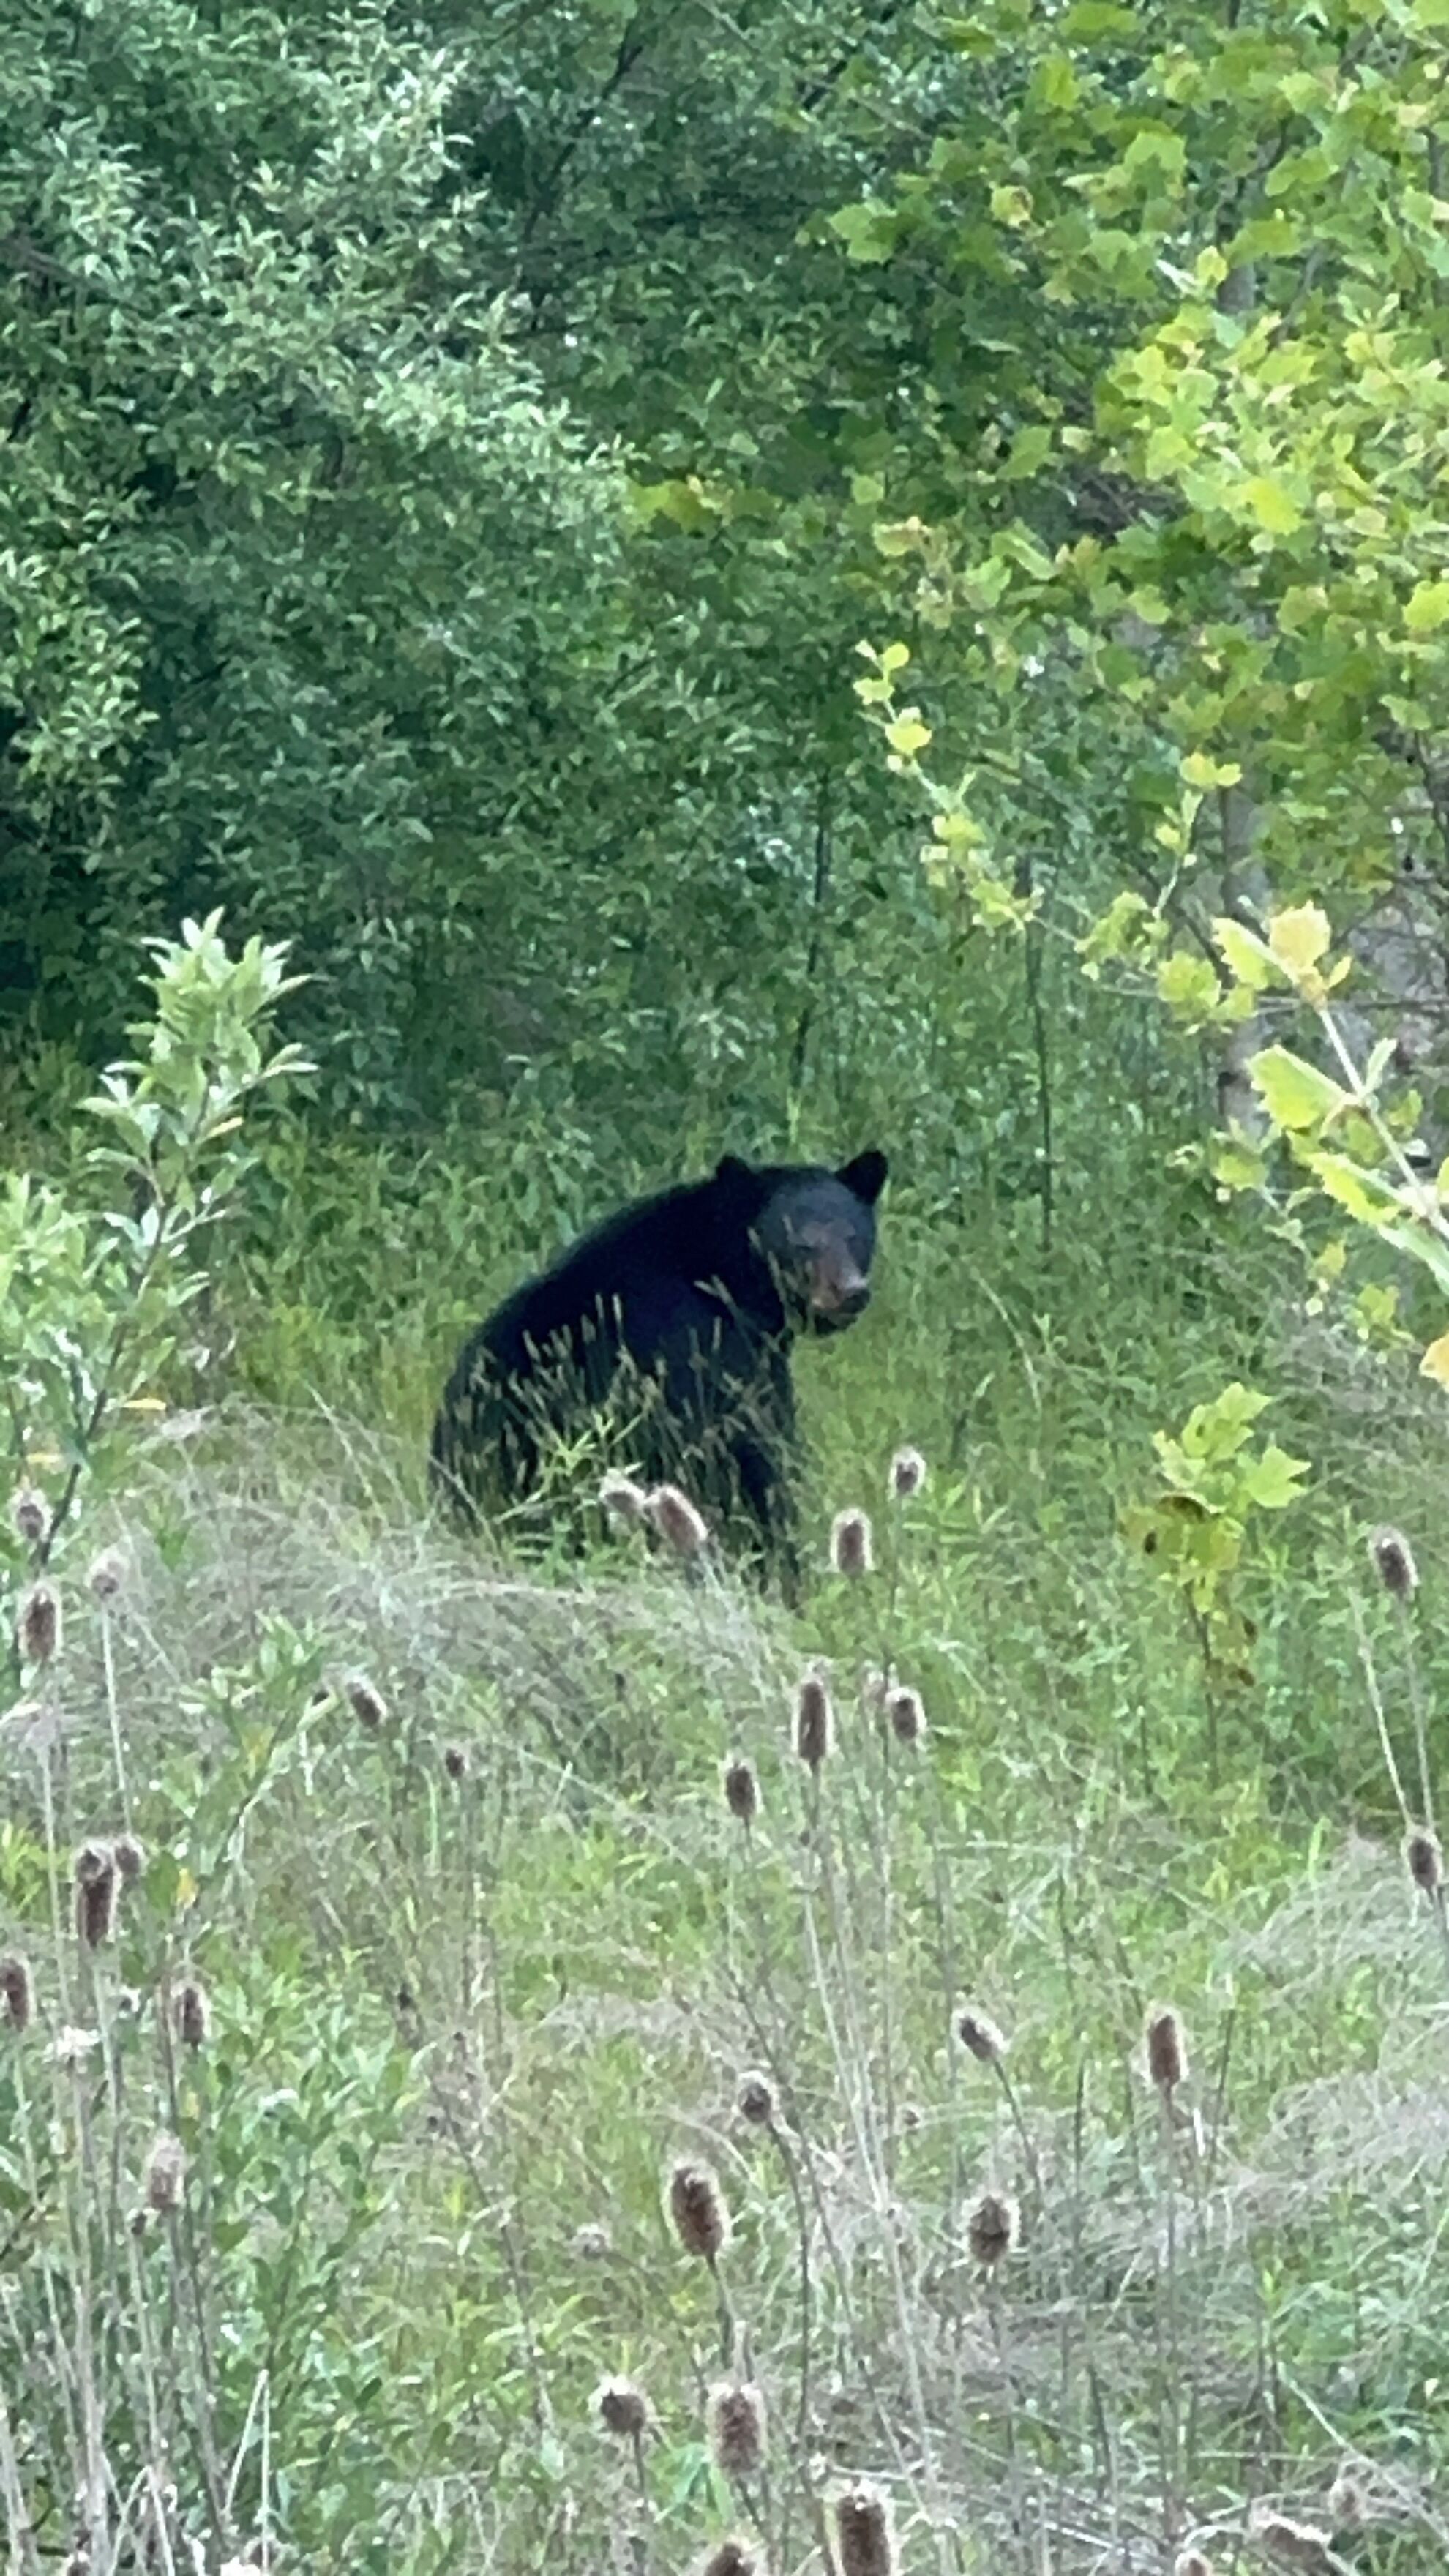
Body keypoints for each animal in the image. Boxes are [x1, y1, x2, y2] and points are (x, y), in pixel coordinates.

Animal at [429, 1148, 888, 1586]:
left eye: (854, 1235)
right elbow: (749, 1456)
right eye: (802, 1241)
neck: (719, 1276)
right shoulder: (693, 1344)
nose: (851, 1292)